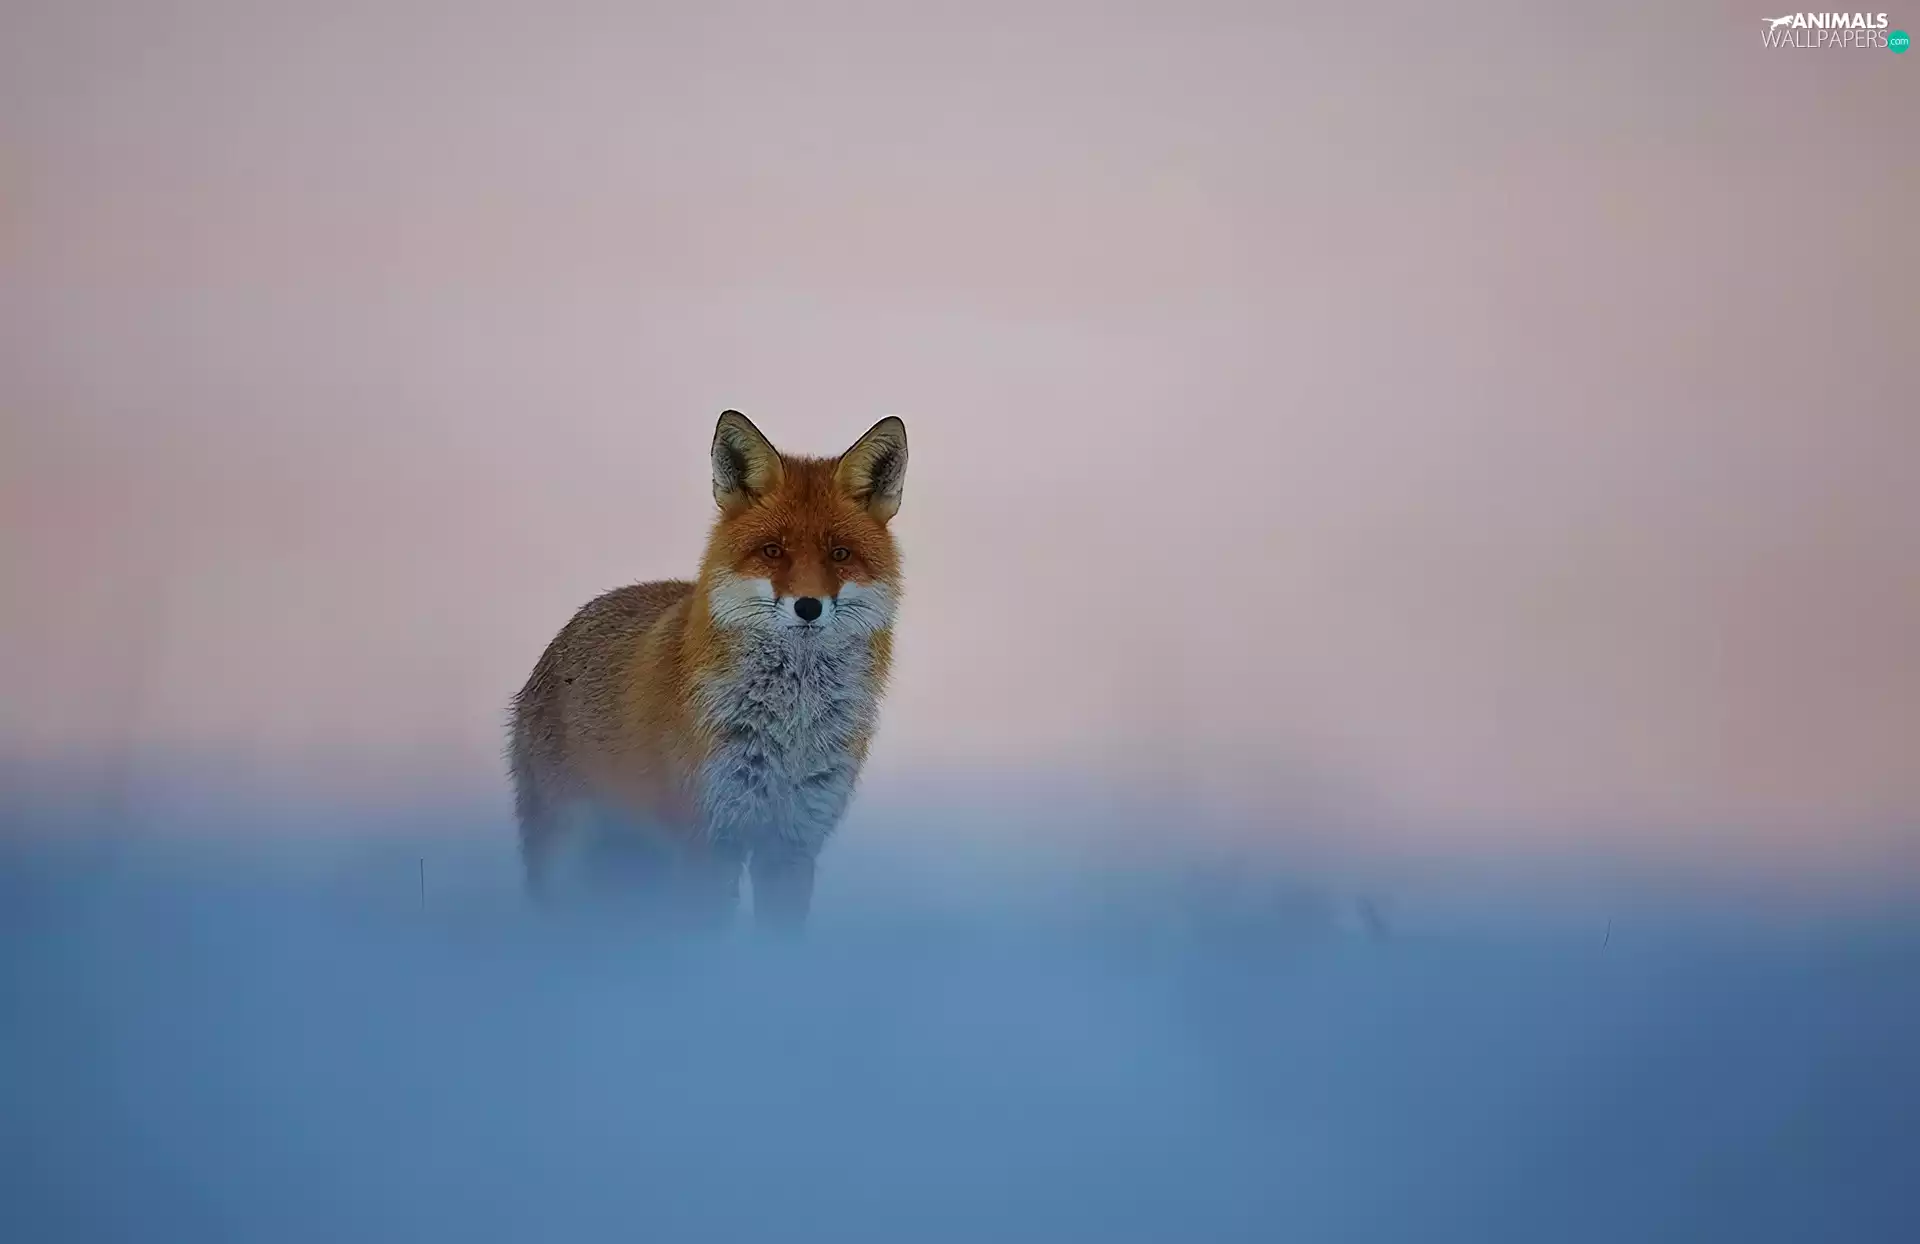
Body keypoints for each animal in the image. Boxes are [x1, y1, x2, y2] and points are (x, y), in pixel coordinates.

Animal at [507, 410, 907, 931]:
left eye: (839, 554)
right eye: (772, 551)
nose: (808, 607)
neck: (791, 728)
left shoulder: (792, 842)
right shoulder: (707, 839)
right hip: (569, 856)